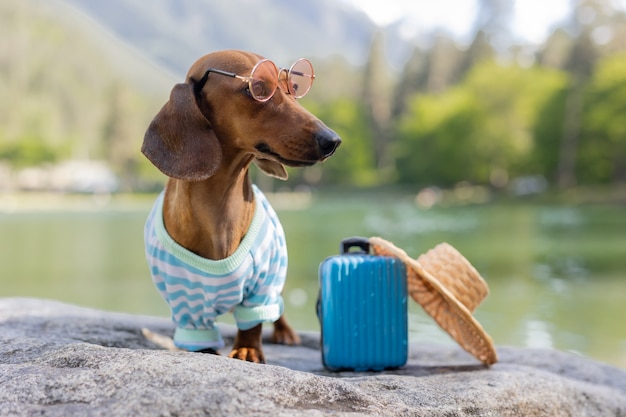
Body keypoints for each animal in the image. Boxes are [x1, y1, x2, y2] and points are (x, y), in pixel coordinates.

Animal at [141, 49, 338, 360]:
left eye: (294, 87)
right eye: (257, 88)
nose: (332, 140)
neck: (221, 207)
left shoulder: (264, 283)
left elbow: (253, 322)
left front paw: (247, 349)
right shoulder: (186, 301)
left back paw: (285, 332)